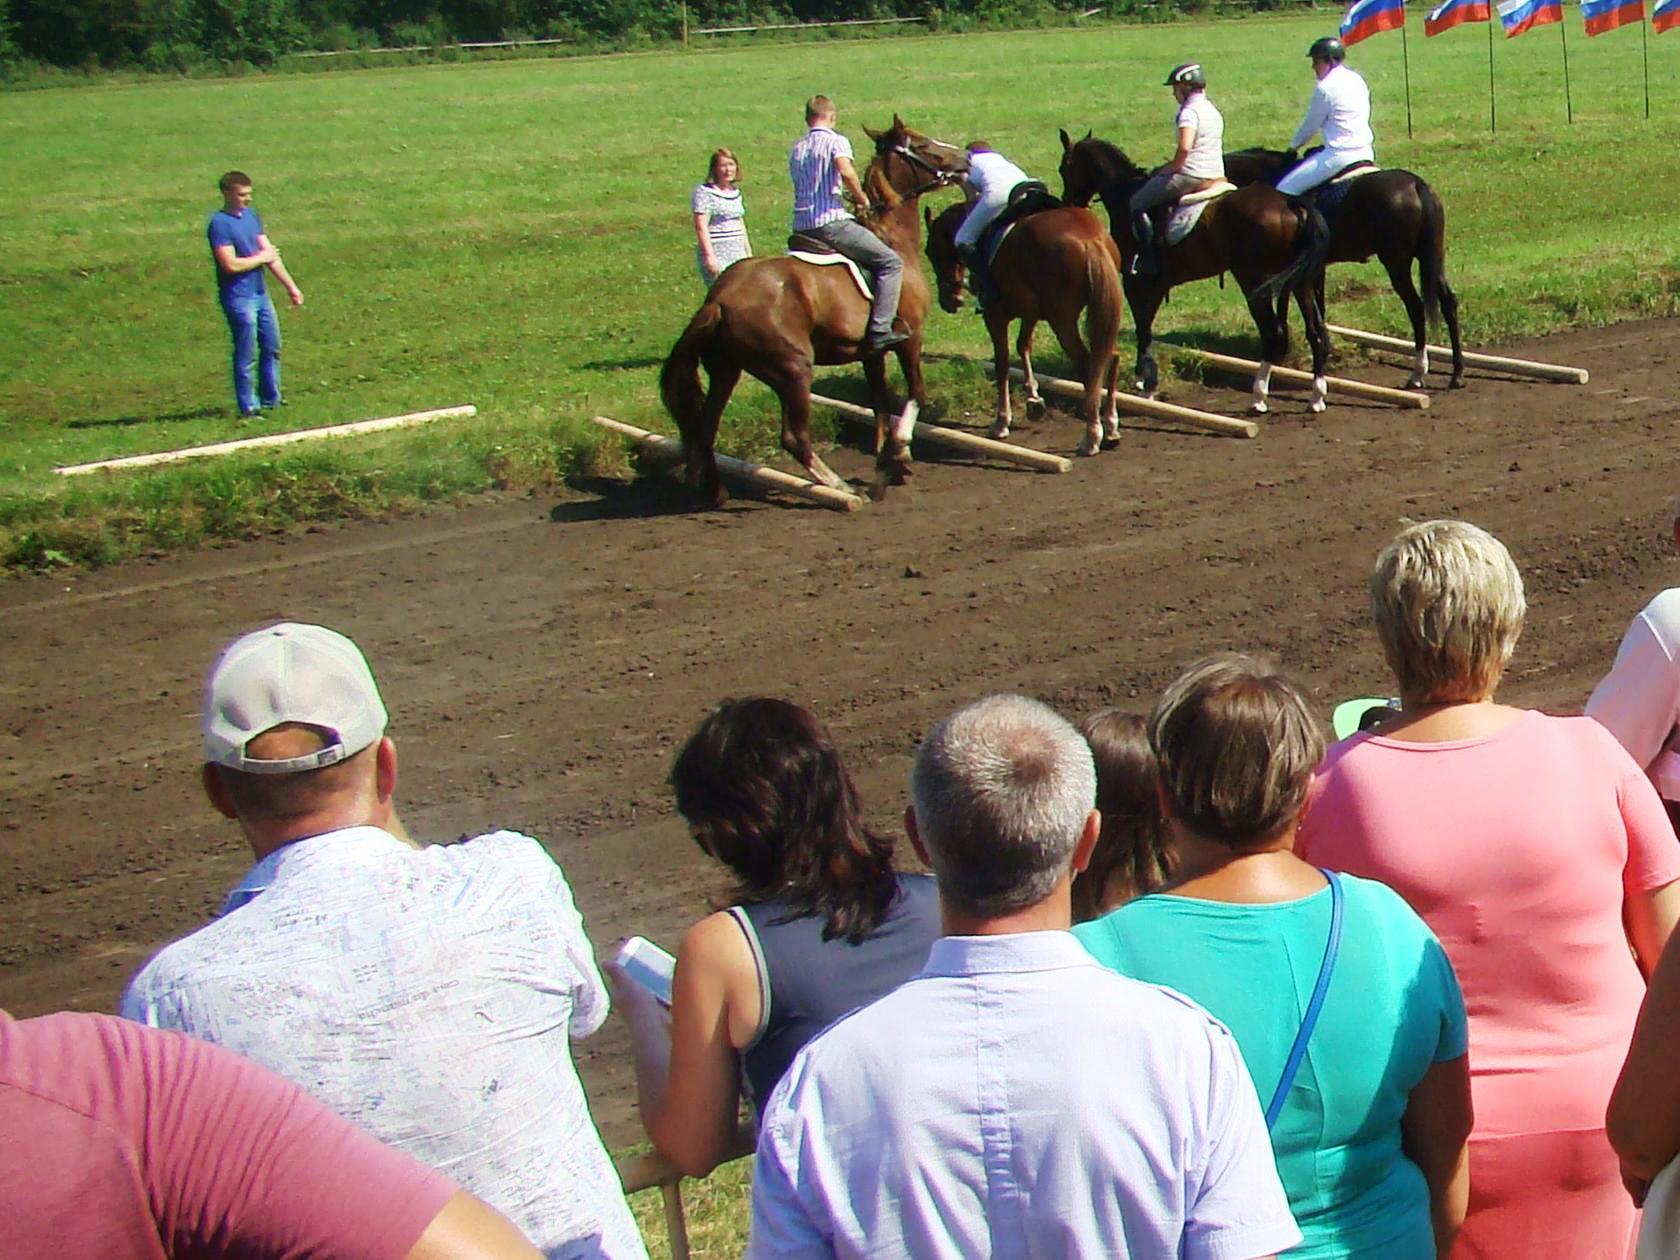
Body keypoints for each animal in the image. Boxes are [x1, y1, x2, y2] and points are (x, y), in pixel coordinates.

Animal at [658, 117, 967, 507]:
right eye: (924, 145)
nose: (965, 160)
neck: (892, 238)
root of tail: (719, 298)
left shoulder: (871, 352)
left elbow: (880, 406)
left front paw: (890, 462)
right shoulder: (909, 338)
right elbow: (915, 396)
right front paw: (896, 456)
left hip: (727, 370)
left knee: (706, 426)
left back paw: (716, 492)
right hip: (793, 370)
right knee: (793, 436)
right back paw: (841, 488)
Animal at [927, 204, 1122, 460]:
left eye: (929, 250)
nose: (949, 301)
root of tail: (1089, 237)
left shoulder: (995, 317)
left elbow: (1002, 364)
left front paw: (1001, 422)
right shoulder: (1031, 313)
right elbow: (1023, 345)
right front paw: (1033, 398)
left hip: (1062, 321)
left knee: (1087, 363)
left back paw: (1091, 437)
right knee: (1111, 356)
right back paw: (1110, 427)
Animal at [1055, 133, 1330, 420]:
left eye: (1064, 169)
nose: (1068, 204)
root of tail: (1290, 201)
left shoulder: (1139, 283)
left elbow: (1143, 328)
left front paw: (1145, 382)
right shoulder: (1153, 285)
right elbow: (1145, 327)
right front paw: (1145, 380)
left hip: (1253, 280)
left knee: (1273, 334)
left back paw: (1258, 397)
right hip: (1301, 282)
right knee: (1316, 331)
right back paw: (1316, 397)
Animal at [1216, 146, 1464, 389]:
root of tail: (1415, 184)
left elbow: (1290, 305)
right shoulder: (1313, 269)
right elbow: (1318, 307)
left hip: (1397, 263)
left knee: (1416, 308)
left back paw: (1418, 373)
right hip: (1431, 259)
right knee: (1448, 302)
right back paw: (1457, 373)